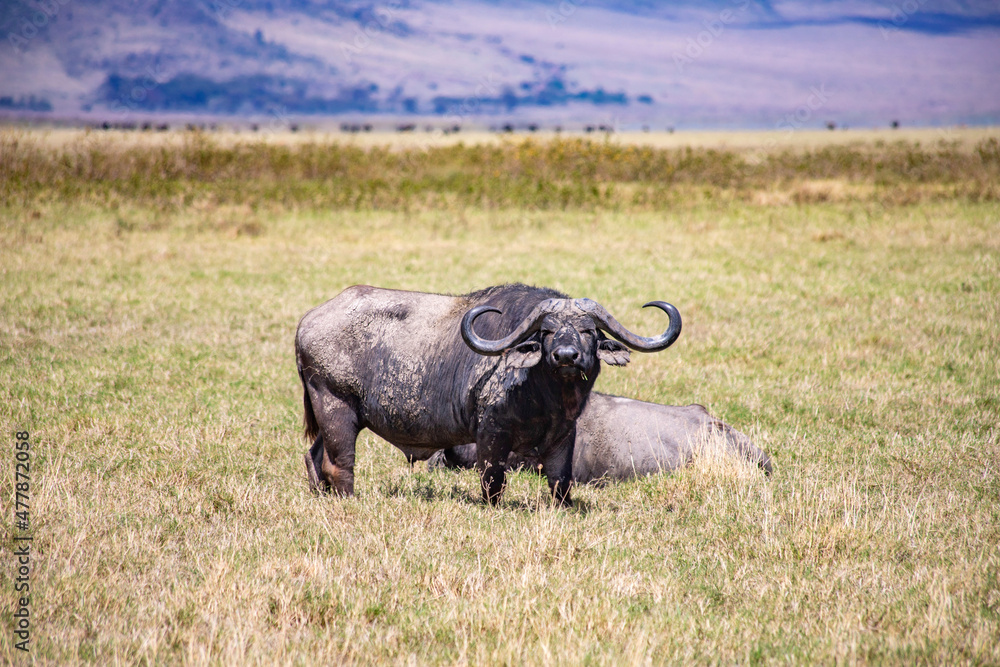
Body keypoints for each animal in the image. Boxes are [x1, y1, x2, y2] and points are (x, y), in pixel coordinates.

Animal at [296, 284, 681, 506]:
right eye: (547, 331)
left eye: (588, 330)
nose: (566, 357)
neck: (544, 396)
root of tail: (307, 322)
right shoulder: (492, 433)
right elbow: (493, 480)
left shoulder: (564, 434)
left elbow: (560, 481)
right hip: (336, 406)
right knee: (339, 463)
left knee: (314, 455)